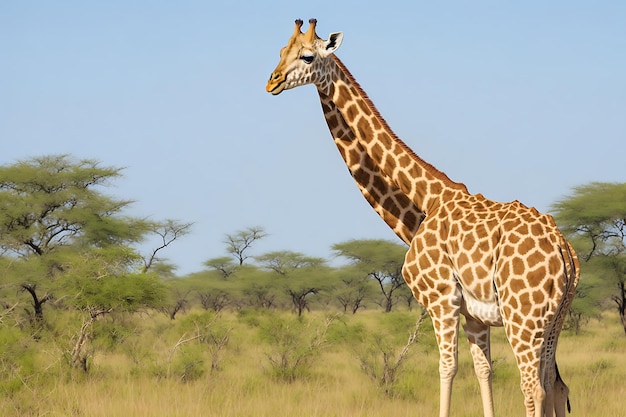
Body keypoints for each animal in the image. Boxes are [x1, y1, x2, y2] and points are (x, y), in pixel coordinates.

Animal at [264, 17, 576, 414]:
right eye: (280, 51)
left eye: (306, 55)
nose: (272, 81)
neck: (421, 206)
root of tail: (565, 251)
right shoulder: (473, 315)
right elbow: (483, 371)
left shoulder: (441, 299)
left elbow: (447, 368)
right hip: (554, 320)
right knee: (555, 384)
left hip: (523, 317)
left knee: (533, 387)